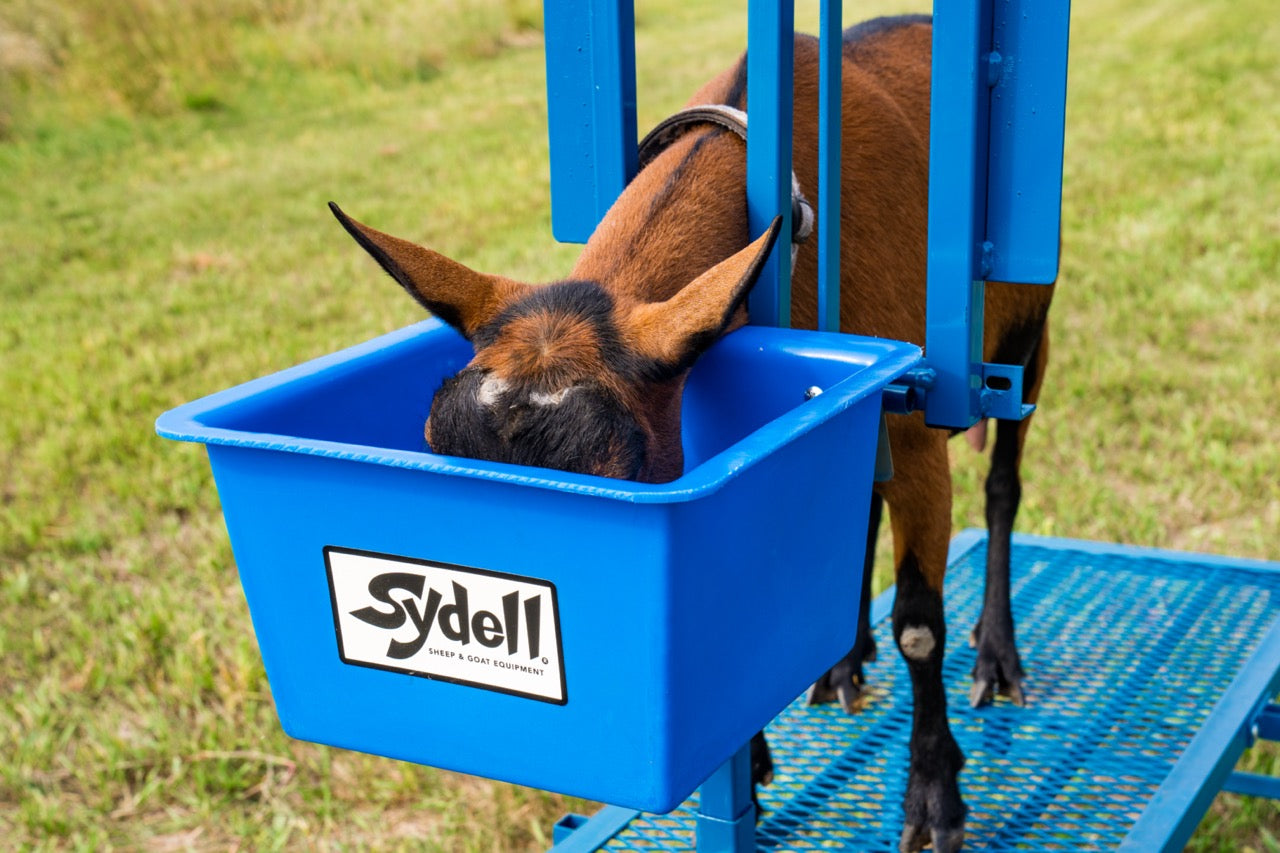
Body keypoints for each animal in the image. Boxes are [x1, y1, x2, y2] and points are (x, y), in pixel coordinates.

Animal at [331, 15, 1054, 853]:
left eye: (626, 468)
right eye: (430, 446)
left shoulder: (914, 431)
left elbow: (918, 627)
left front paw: (935, 796)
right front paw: (752, 753)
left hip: (1028, 337)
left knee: (1003, 482)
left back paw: (996, 654)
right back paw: (841, 662)